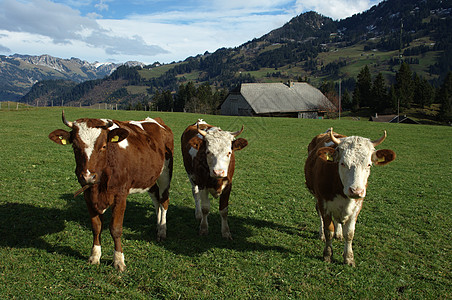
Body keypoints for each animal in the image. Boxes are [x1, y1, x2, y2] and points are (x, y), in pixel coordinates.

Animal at [48, 111, 173, 270]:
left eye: (103, 146)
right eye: (75, 146)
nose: (88, 176)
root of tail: (155, 120)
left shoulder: (120, 196)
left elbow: (115, 228)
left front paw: (119, 260)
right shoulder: (88, 195)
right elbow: (96, 227)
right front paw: (94, 256)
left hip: (165, 173)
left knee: (164, 201)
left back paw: (162, 231)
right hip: (149, 177)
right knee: (156, 198)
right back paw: (157, 226)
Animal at [304, 127, 396, 266]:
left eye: (369, 164)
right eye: (342, 163)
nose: (355, 191)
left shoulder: (357, 206)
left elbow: (350, 233)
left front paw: (348, 258)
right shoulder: (324, 202)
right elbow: (328, 230)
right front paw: (327, 254)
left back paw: (339, 234)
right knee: (319, 213)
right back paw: (322, 234)